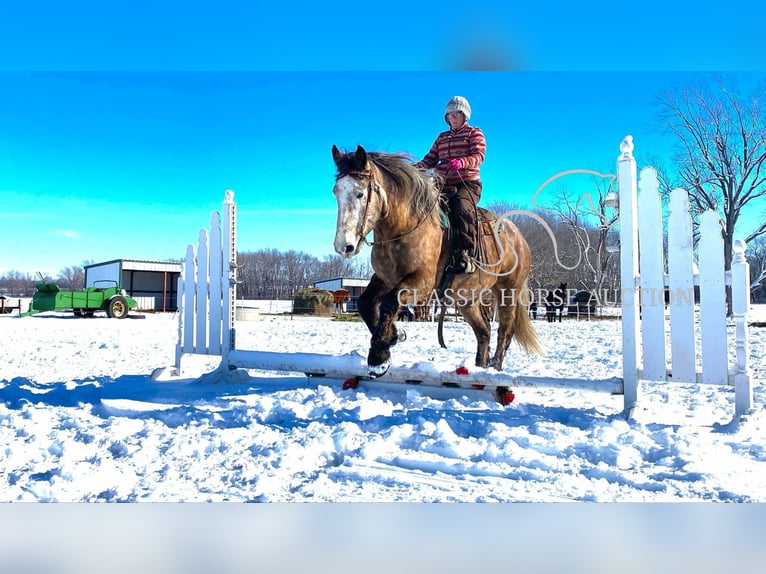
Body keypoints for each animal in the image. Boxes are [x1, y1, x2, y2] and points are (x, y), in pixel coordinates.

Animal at [332, 144, 544, 378]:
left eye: (360, 193)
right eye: (336, 192)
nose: (344, 246)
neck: (404, 228)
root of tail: (519, 238)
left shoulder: (422, 282)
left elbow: (390, 302)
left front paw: (379, 358)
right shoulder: (385, 278)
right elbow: (365, 302)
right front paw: (395, 335)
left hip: (508, 291)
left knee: (504, 332)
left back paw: (494, 368)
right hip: (467, 298)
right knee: (483, 331)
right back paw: (479, 367)